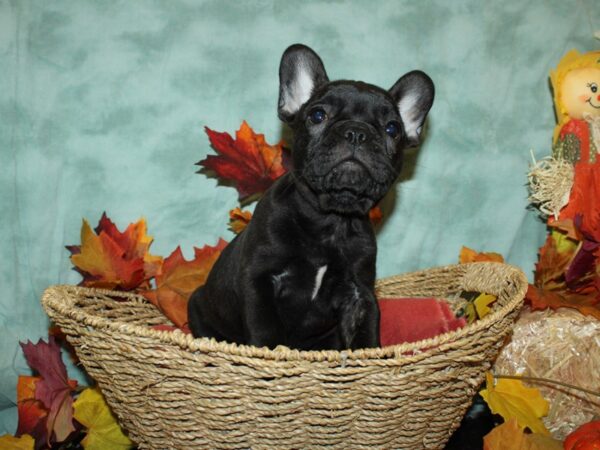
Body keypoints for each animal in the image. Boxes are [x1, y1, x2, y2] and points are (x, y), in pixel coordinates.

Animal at [189, 43, 436, 352]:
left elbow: (366, 335)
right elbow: (265, 330)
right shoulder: (258, 281)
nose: (357, 132)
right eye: (318, 116)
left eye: (392, 128)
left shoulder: (360, 294)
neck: (329, 221)